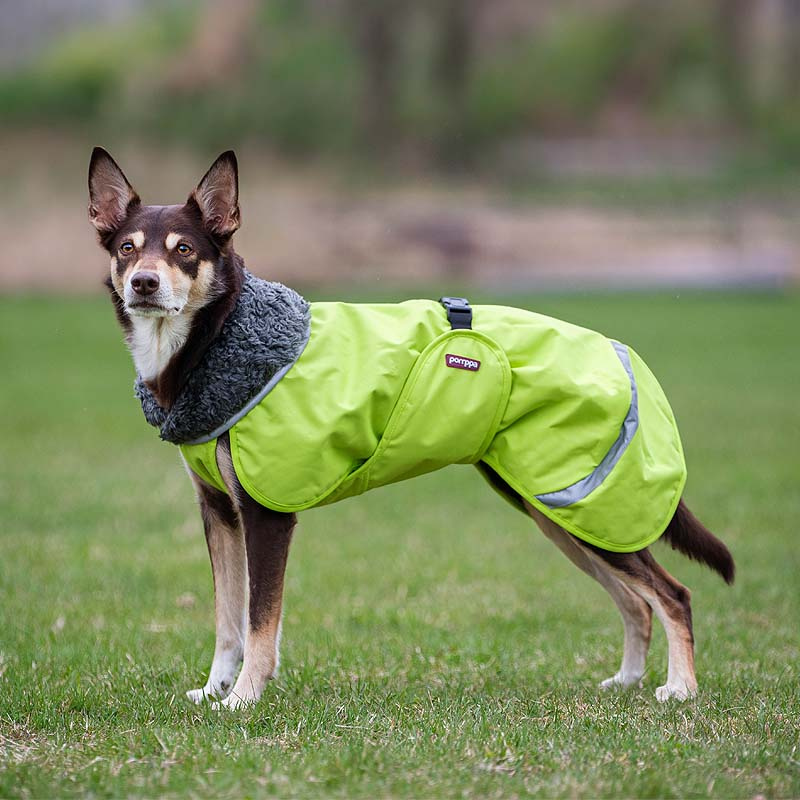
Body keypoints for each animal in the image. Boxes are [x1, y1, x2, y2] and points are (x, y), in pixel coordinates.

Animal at [89, 147, 736, 708]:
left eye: (184, 250)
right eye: (127, 248)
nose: (143, 283)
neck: (216, 339)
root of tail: (620, 353)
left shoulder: (267, 513)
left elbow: (259, 623)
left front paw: (245, 697)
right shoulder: (219, 512)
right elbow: (227, 620)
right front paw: (214, 690)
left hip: (585, 507)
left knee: (673, 595)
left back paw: (680, 689)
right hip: (562, 513)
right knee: (637, 603)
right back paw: (626, 681)